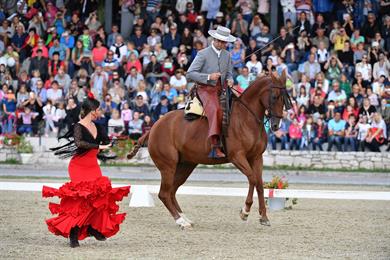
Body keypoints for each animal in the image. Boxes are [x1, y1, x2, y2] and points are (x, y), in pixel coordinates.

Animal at [126, 72, 288, 229]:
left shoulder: (256, 157)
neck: (246, 118)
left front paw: (264, 217)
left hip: (185, 165)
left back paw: (185, 219)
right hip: (168, 167)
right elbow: (252, 179)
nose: (276, 125)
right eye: (274, 97)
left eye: (285, 98)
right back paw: (181, 221)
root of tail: (154, 126)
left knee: (171, 191)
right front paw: (245, 211)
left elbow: (260, 184)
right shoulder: (237, 157)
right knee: (164, 194)